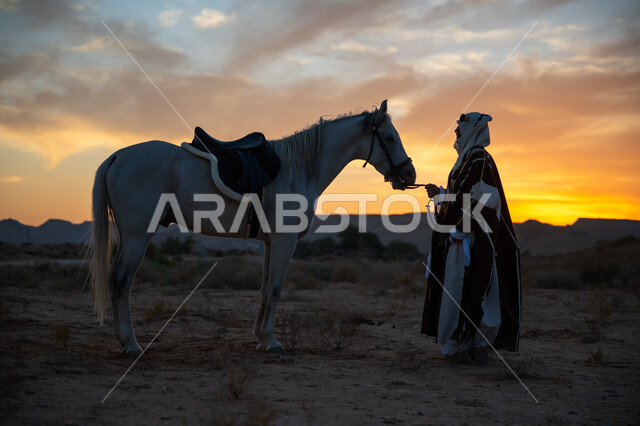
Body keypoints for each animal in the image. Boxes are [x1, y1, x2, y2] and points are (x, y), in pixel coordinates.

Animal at [90, 100, 416, 358]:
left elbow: (263, 289)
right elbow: (275, 288)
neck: (299, 168)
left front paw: (261, 338)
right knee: (121, 280)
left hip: (128, 236)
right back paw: (132, 345)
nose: (410, 174)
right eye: (389, 138)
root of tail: (117, 156)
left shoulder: (270, 242)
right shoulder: (285, 241)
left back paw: (123, 342)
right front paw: (273, 342)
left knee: (115, 278)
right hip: (138, 236)